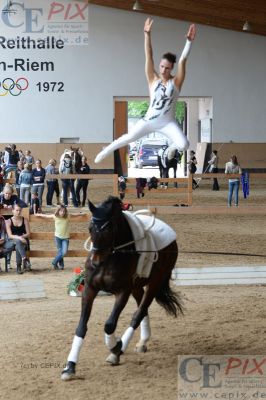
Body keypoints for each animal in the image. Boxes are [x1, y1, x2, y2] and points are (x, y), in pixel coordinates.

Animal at [61, 197, 183, 382]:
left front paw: (116, 346)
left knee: (139, 314)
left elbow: (109, 325)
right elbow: (81, 327)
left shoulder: (122, 292)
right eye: (90, 227)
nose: (96, 262)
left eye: (109, 228)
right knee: (142, 310)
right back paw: (142, 342)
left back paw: (119, 351)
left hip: (155, 283)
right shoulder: (90, 289)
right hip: (137, 287)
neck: (110, 258)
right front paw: (70, 366)